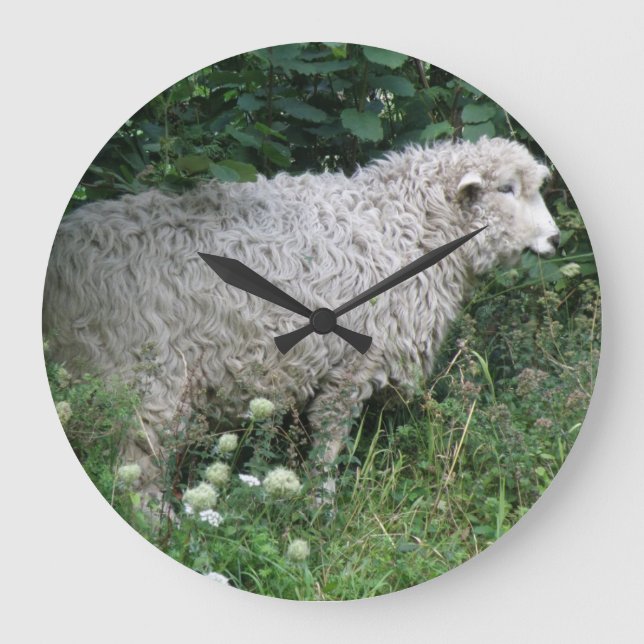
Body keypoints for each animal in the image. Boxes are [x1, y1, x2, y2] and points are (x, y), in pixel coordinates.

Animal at [43, 136, 560, 492]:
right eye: (507, 189)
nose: (555, 239)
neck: (408, 226)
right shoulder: (353, 364)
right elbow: (329, 441)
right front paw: (321, 504)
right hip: (143, 376)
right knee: (135, 468)